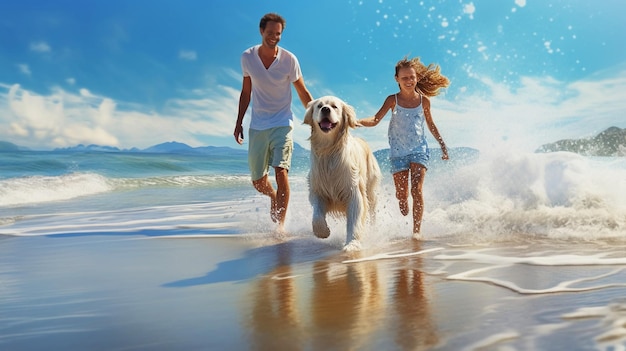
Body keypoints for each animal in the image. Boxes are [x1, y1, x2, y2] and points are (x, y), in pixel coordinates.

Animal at [302, 95, 380, 252]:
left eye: (334, 106)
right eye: (319, 106)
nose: (326, 109)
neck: (329, 151)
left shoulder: (353, 191)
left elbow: (355, 219)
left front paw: (352, 244)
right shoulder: (318, 189)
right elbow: (317, 216)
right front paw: (323, 231)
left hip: (371, 187)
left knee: (372, 209)